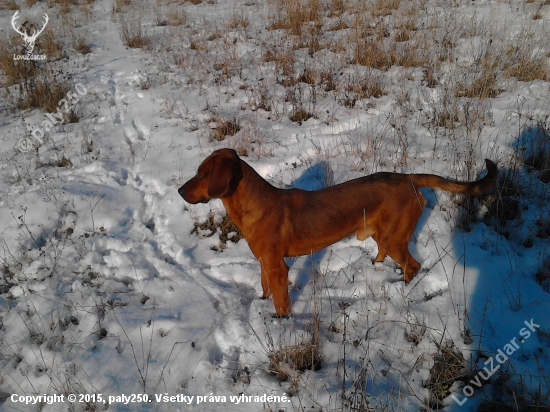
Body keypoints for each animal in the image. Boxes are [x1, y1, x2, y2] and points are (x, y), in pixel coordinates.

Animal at [181, 148, 500, 316]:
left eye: (201, 174)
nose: (180, 191)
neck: (254, 205)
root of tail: (409, 178)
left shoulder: (277, 267)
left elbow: (281, 302)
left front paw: (281, 325)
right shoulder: (264, 263)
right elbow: (264, 290)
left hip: (394, 238)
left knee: (414, 265)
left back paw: (404, 291)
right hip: (381, 233)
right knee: (384, 255)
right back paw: (376, 269)